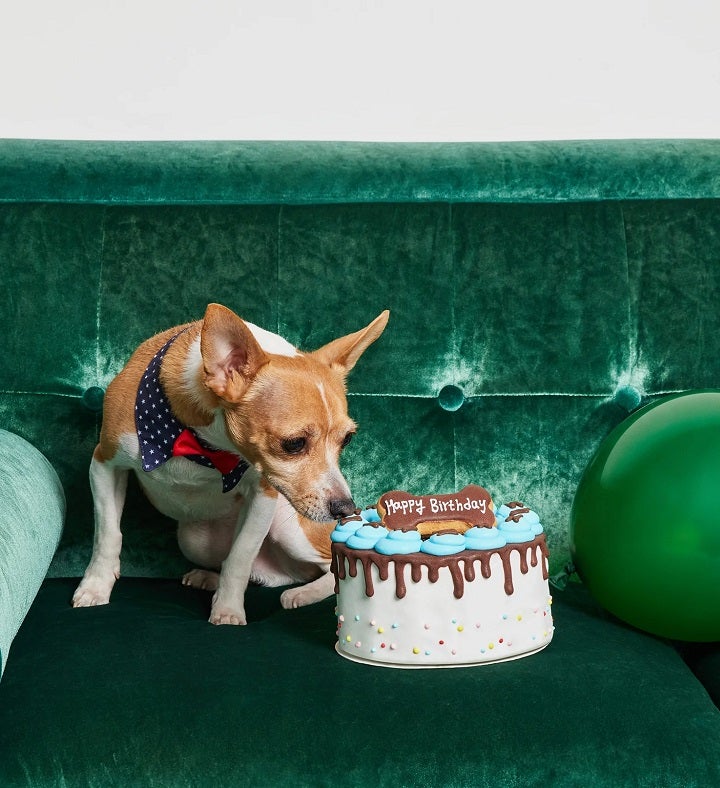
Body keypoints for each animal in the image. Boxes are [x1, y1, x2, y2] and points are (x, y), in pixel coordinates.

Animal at [71, 304, 388, 624]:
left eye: (347, 440)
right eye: (294, 444)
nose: (346, 508)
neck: (205, 446)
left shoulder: (263, 496)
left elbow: (240, 556)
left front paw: (228, 610)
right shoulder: (104, 465)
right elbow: (107, 534)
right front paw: (95, 587)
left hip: (291, 531)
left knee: (328, 568)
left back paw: (303, 594)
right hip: (194, 540)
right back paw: (211, 579)